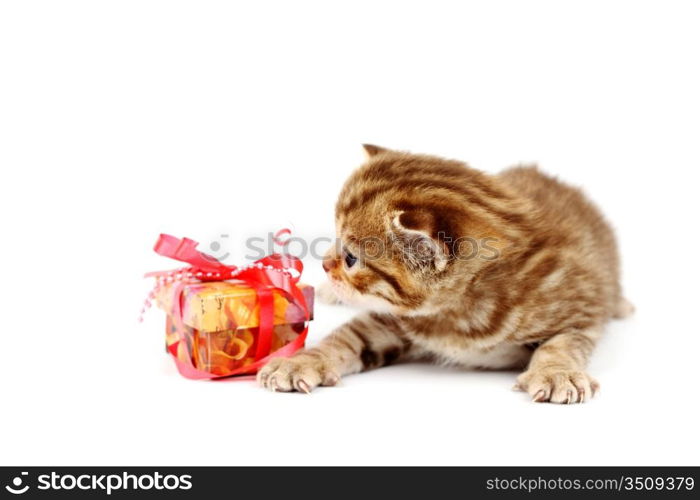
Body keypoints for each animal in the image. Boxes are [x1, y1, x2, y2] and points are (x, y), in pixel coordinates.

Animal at [260, 145, 632, 402]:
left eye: (351, 258)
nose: (324, 264)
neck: (457, 314)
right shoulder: (391, 320)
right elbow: (348, 336)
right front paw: (299, 362)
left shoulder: (580, 306)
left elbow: (563, 344)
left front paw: (557, 373)